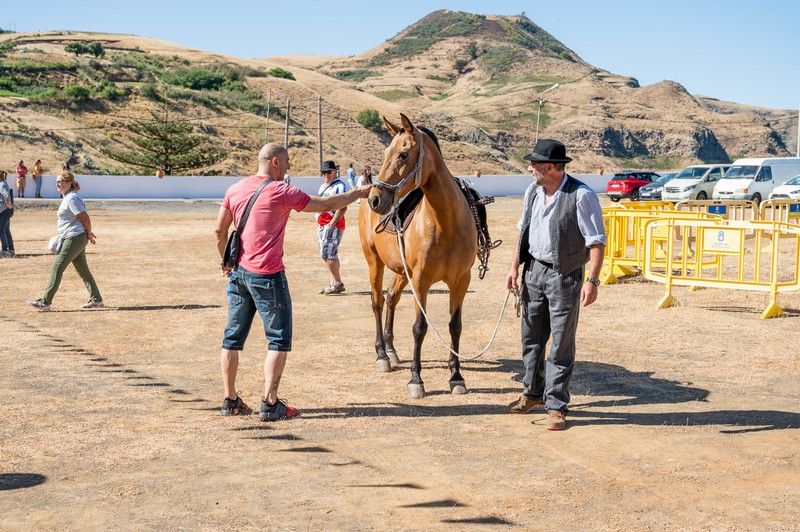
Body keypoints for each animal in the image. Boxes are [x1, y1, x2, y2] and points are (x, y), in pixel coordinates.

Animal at [360, 113, 478, 400]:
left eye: (403, 154)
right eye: (385, 153)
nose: (375, 199)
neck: (446, 223)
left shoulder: (461, 281)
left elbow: (455, 326)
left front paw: (456, 376)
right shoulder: (421, 281)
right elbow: (419, 328)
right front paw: (416, 379)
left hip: (402, 272)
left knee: (391, 298)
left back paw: (391, 350)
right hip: (374, 262)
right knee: (377, 302)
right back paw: (382, 354)